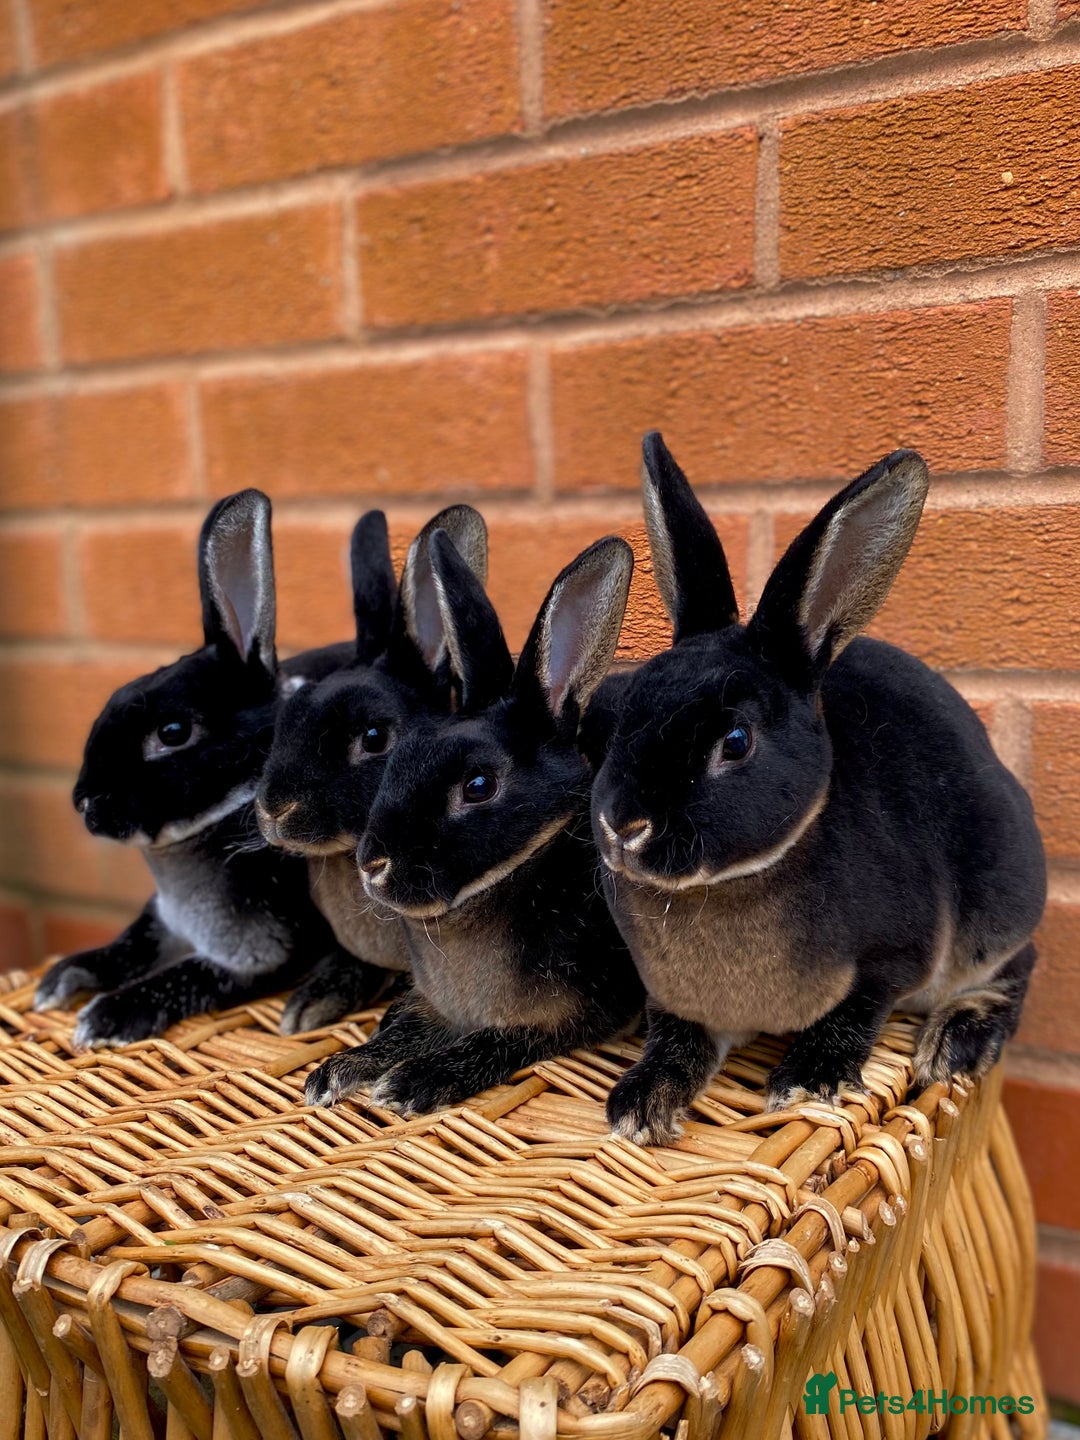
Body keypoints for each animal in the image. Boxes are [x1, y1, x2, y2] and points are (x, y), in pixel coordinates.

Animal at [33, 489, 364, 1048]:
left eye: (172, 733)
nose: (84, 801)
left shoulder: (263, 953)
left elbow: (189, 974)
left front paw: (106, 1017)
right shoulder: (160, 920)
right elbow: (129, 945)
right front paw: (61, 978)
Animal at [303, 529, 647, 1116]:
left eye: (479, 785)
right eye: (401, 755)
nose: (372, 863)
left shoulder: (578, 1012)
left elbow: (500, 1038)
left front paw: (413, 1082)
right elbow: (402, 1028)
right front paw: (337, 1070)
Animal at [591, 433, 1046, 1145]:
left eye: (736, 741)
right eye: (622, 710)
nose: (623, 826)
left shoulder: (896, 956)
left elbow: (856, 1010)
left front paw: (809, 1082)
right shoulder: (672, 996)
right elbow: (675, 1040)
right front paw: (639, 1106)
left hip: (996, 910)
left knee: (1019, 966)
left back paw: (955, 1043)